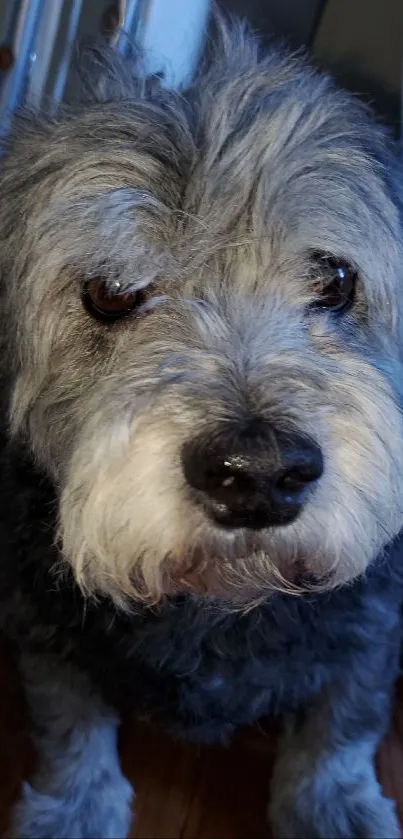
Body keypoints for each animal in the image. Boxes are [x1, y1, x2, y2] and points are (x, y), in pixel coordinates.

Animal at [0, 14, 403, 839]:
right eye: (111, 291)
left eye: (334, 278)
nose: (259, 474)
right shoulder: (40, 624)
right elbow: (68, 718)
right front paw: (75, 804)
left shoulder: (370, 629)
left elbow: (342, 721)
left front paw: (332, 802)